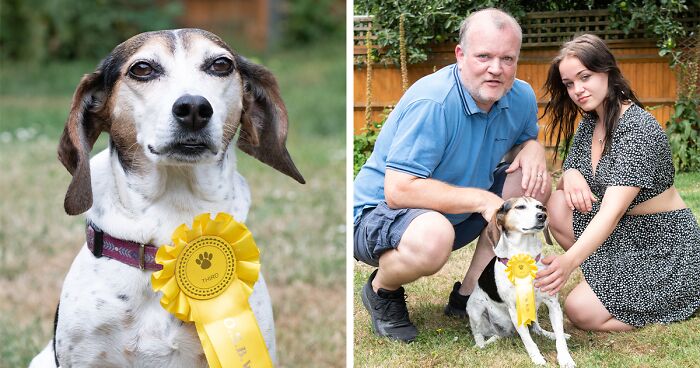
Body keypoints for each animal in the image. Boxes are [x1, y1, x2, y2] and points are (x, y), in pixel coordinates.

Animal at [464, 198, 576, 368]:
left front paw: (565, 359)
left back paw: (549, 334)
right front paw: (537, 359)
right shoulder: (515, 309)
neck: (524, 253)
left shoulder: (553, 304)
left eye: (540, 206)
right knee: (478, 335)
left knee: (537, 328)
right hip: (475, 309)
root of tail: (503, 332)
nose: (542, 215)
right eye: (520, 207)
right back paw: (481, 345)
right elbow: (528, 341)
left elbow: (560, 339)